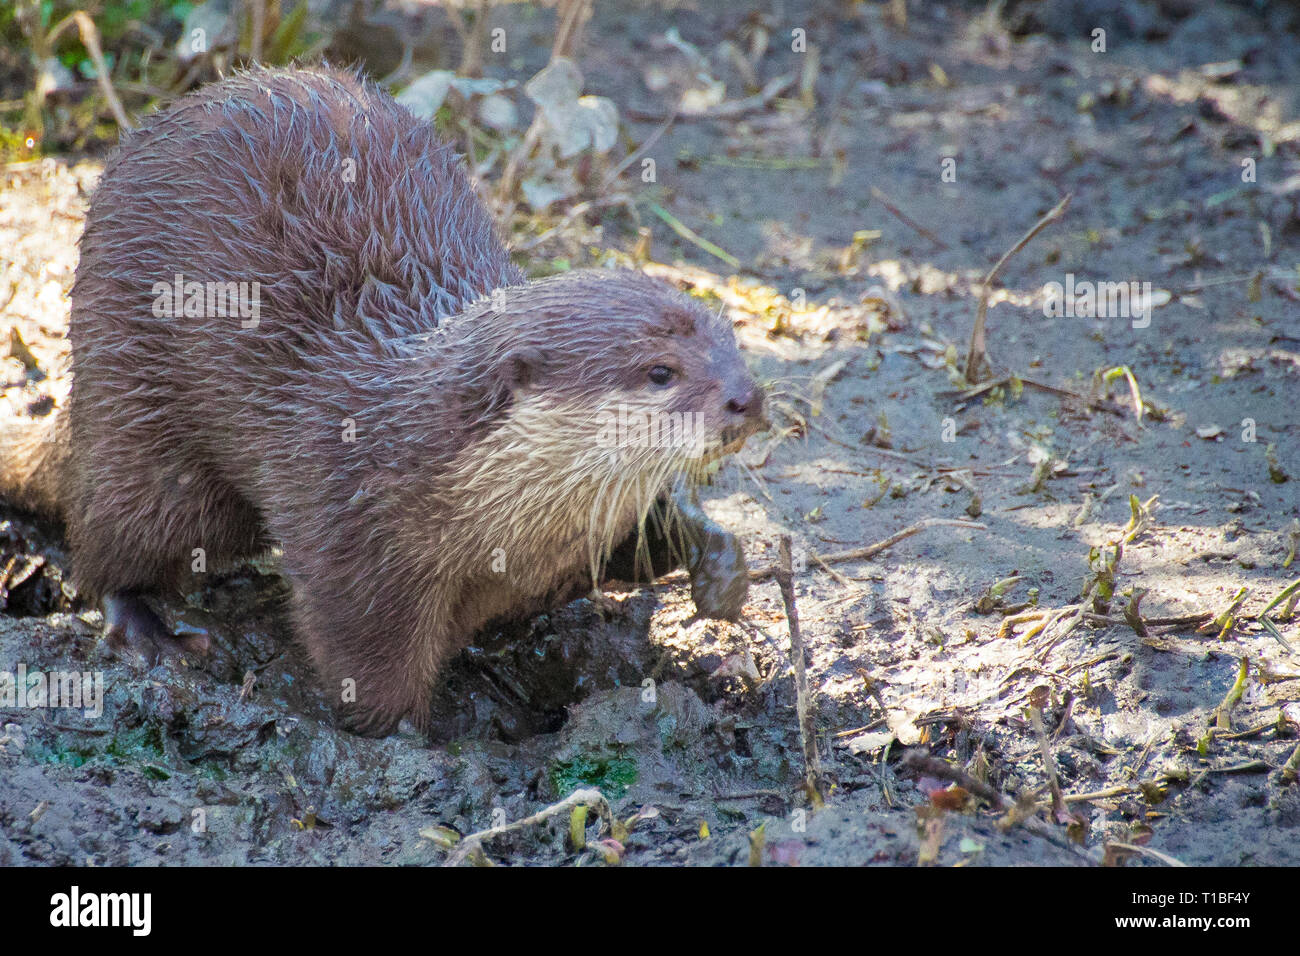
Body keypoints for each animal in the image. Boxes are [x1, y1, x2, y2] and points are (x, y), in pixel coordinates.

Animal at [1, 65, 764, 735]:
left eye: (730, 338)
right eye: (660, 371)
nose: (748, 399)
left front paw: (716, 553)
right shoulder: (349, 537)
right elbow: (366, 662)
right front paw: (408, 737)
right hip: (136, 404)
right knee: (112, 528)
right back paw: (148, 631)